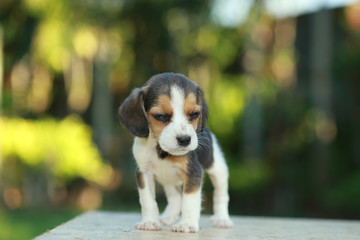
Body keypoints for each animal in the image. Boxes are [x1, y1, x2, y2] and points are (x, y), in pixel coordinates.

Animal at [118, 72, 233, 232]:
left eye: (195, 114)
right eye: (161, 116)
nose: (185, 140)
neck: (161, 149)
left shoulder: (193, 172)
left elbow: (190, 201)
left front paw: (187, 224)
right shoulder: (143, 173)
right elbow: (148, 201)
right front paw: (149, 222)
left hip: (218, 170)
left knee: (221, 196)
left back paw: (222, 219)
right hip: (168, 180)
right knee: (177, 196)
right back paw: (168, 217)